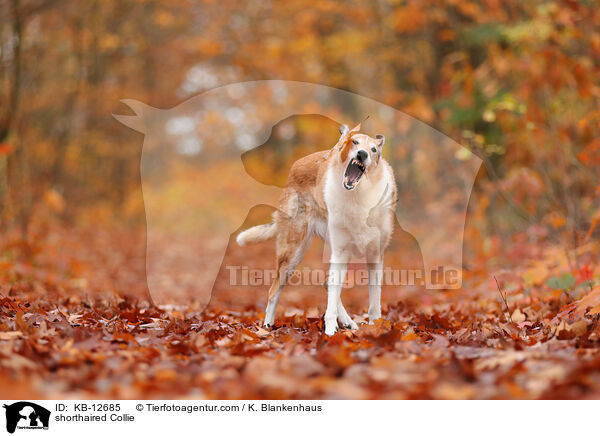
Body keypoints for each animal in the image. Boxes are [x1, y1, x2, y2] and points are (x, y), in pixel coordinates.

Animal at [237, 121, 396, 336]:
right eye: (354, 142)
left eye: (373, 150)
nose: (362, 154)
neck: (358, 197)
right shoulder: (340, 252)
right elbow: (331, 301)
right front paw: (330, 333)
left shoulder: (375, 255)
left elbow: (374, 301)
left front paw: (376, 326)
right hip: (294, 252)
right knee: (274, 291)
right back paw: (267, 327)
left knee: (327, 283)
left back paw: (349, 323)